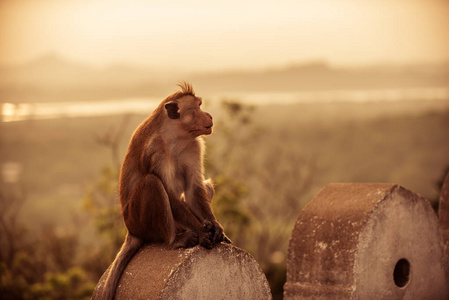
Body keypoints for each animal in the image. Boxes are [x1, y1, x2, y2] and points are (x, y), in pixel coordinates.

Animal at [99, 82, 231, 300]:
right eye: (197, 107)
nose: (210, 116)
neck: (174, 137)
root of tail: (130, 230)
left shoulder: (195, 145)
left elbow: (194, 188)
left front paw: (215, 226)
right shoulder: (154, 150)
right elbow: (168, 191)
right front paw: (202, 231)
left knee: (205, 186)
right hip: (139, 223)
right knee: (152, 183)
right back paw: (175, 240)